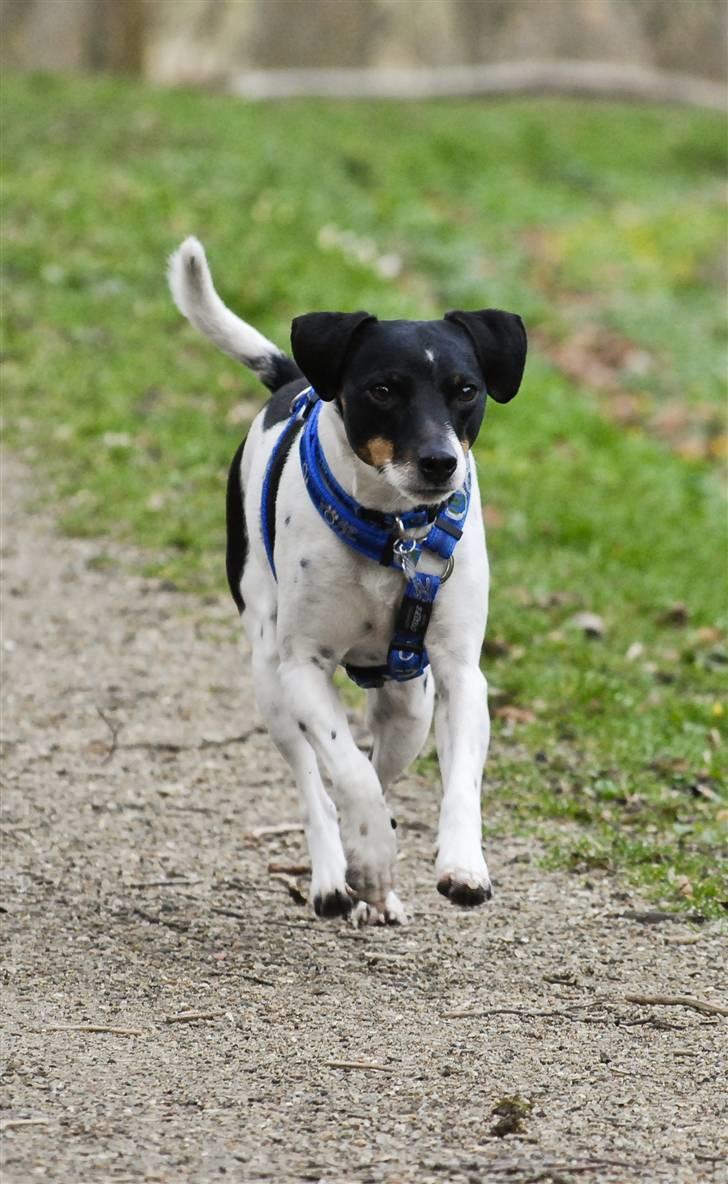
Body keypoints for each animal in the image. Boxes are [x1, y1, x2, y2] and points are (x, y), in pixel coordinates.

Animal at [168, 237, 527, 923]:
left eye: (466, 390)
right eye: (383, 389)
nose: (441, 462)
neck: (396, 533)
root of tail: (294, 378)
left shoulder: (459, 674)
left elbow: (456, 780)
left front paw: (463, 865)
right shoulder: (303, 667)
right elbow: (347, 772)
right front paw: (368, 858)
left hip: (410, 704)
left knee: (381, 768)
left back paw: (374, 888)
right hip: (270, 679)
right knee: (319, 781)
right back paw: (339, 875)